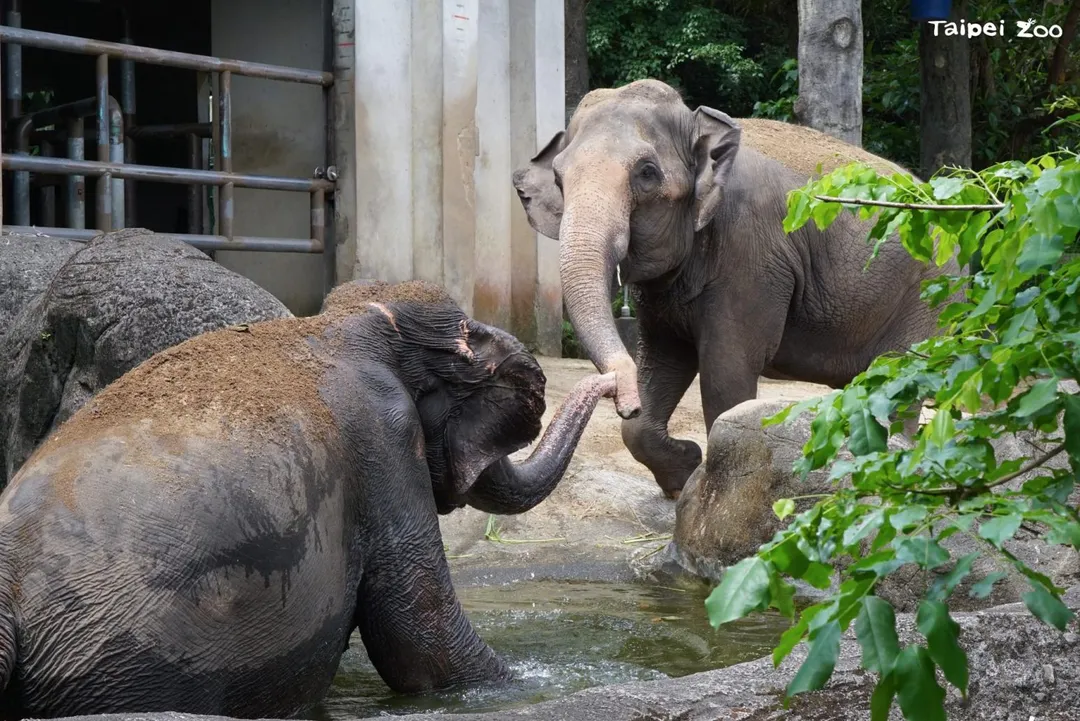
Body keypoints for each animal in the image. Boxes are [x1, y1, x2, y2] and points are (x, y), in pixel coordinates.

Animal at [513, 79, 957, 499]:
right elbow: (662, 358)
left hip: (928, 297)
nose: (624, 401)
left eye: (647, 173)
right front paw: (683, 475)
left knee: (895, 383)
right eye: (558, 178)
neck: (697, 121)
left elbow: (726, 374)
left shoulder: (752, 258)